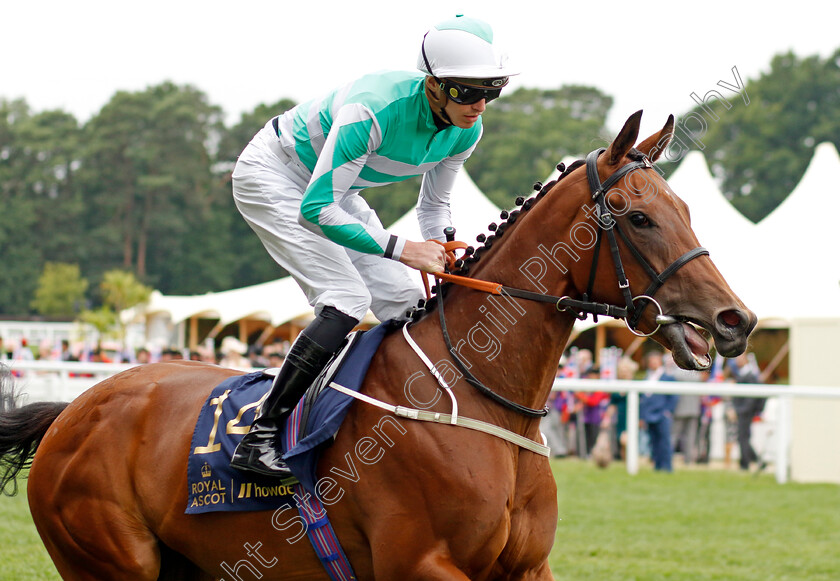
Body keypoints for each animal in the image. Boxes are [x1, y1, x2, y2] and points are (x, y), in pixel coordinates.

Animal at [0, 111, 756, 576]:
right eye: (637, 217)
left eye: (686, 208)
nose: (735, 320)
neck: (477, 398)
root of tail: (69, 411)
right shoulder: (420, 562)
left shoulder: (526, 565)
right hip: (107, 557)